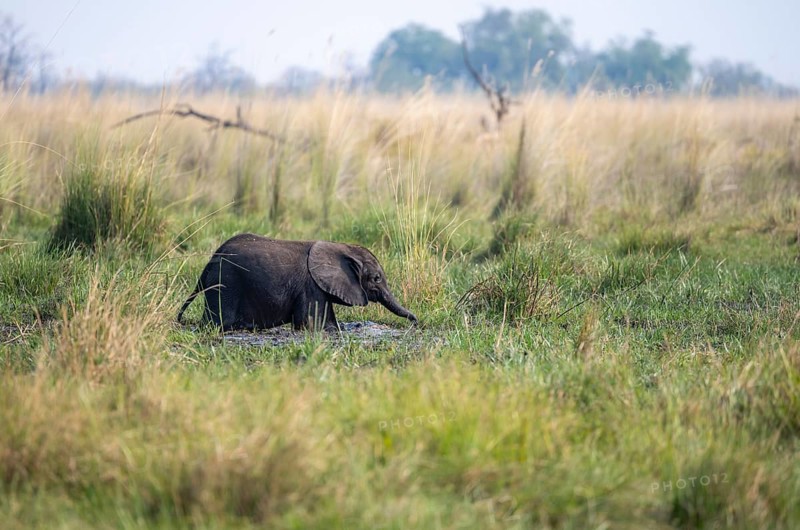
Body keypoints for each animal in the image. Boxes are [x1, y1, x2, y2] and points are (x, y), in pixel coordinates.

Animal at [177, 233, 418, 331]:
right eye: (376, 279)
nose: (416, 321)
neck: (340, 247)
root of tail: (212, 258)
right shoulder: (310, 287)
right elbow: (310, 324)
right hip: (226, 281)